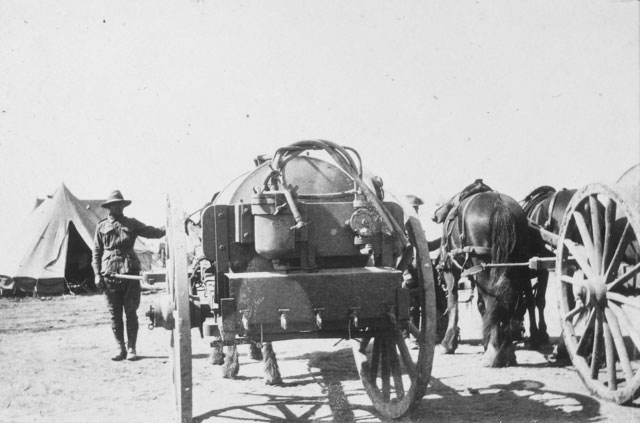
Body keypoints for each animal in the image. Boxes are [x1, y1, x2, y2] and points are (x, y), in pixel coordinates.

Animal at [436, 190, 536, 366]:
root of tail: (500, 206)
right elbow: (481, 306)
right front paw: (486, 341)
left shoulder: (451, 270)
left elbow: (453, 305)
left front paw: (448, 343)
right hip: (513, 265)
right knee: (507, 301)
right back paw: (506, 351)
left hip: (484, 266)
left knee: (493, 300)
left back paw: (493, 353)